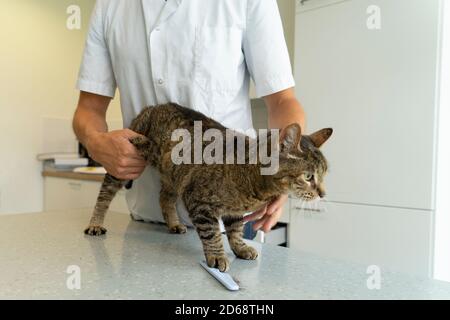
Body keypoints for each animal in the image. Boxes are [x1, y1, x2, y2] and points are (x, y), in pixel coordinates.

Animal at [85, 103, 330, 272]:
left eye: (325, 174)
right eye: (309, 176)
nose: (323, 194)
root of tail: (152, 106)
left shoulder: (234, 211)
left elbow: (235, 231)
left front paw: (240, 248)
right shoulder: (199, 201)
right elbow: (212, 233)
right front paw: (218, 256)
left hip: (174, 175)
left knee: (164, 197)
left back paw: (174, 223)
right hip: (124, 162)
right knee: (105, 193)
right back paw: (95, 223)